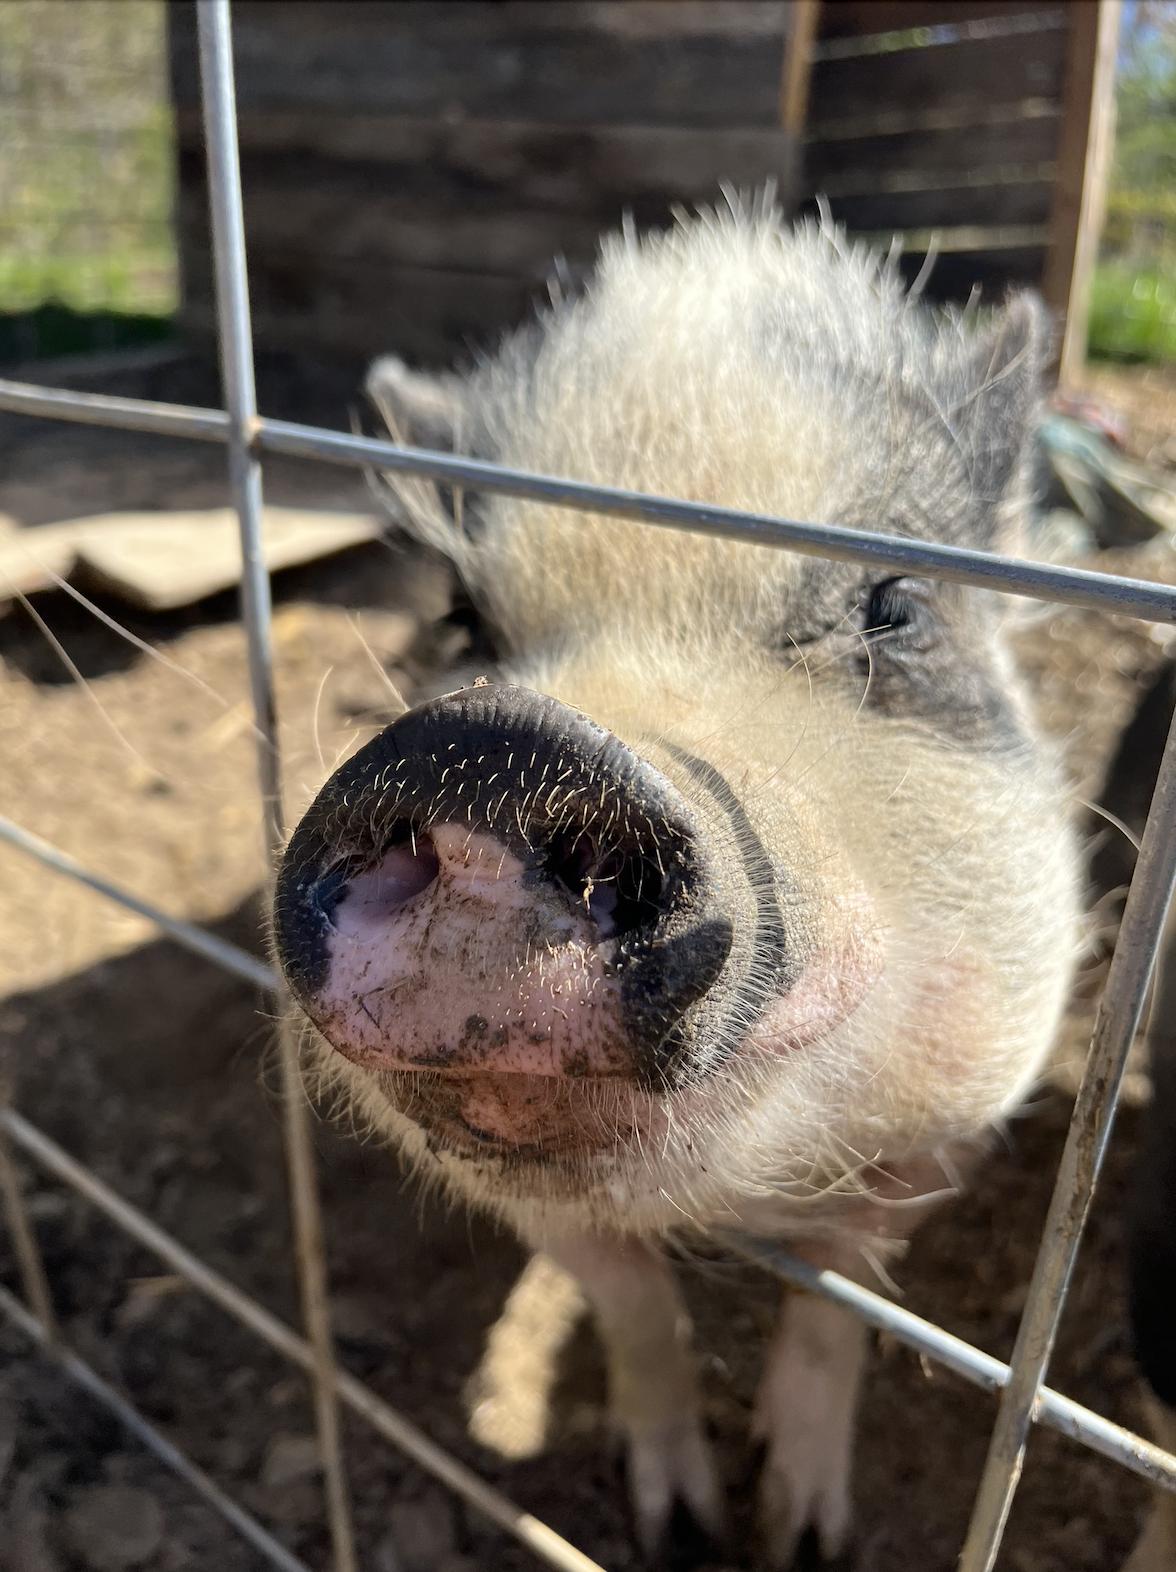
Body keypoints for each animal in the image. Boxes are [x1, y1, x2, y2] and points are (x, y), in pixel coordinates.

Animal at [272, 203, 1082, 1566]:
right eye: (464, 616)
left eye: (895, 604)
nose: (493, 753)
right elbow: (631, 1303)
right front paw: (682, 1530)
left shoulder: (963, 1106)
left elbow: (842, 1296)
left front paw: (803, 1536)